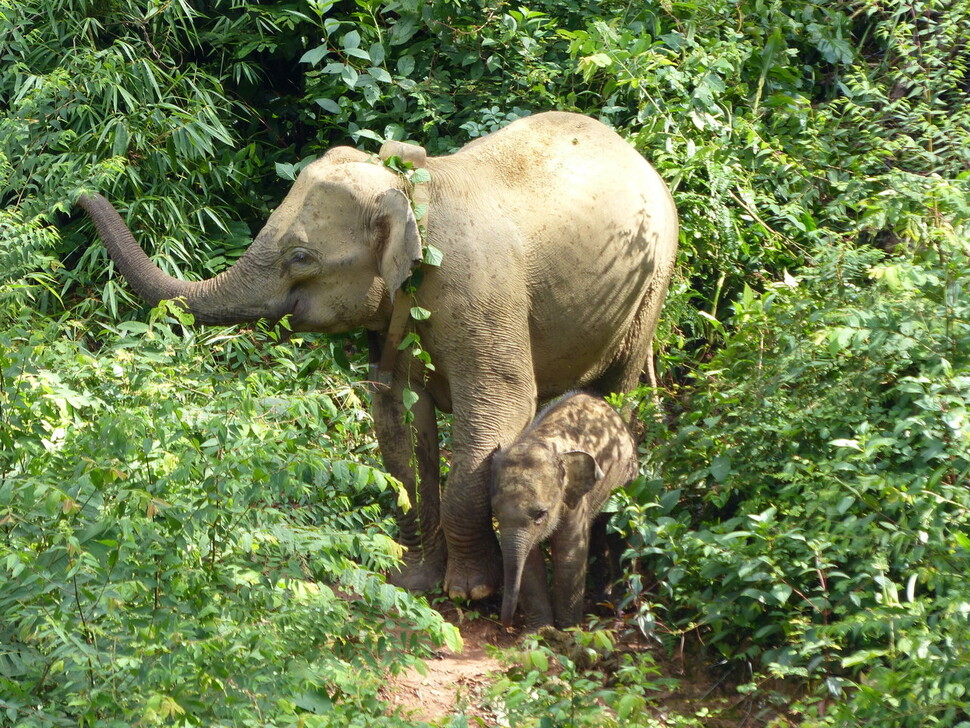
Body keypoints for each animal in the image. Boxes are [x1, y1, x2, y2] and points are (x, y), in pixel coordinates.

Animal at [75, 111, 676, 600]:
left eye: (301, 257)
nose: (79, 194)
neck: (410, 187)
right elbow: (395, 418)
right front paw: (414, 581)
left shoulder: (480, 296)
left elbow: (497, 410)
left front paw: (470, 593)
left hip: (652, 280)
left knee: (615, 387)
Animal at [488, 392, 640, 624]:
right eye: (495, 513)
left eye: (541, 514)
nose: (505, 622)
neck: (540, 441)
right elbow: (530, 562)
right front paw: (539, 629)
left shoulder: (572, 501)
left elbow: (570, 554)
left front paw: (568, 629)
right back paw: (601, 602)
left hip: (625, 479)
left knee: (618, 531)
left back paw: (621, 605)